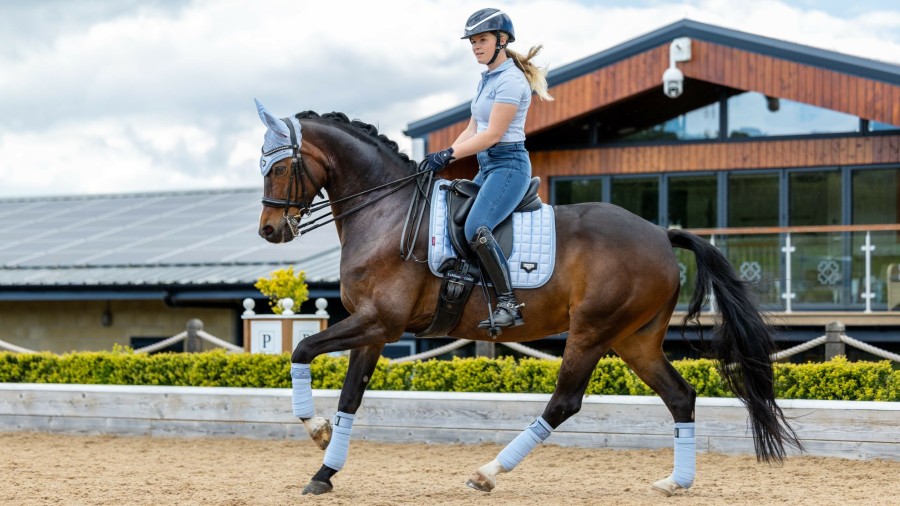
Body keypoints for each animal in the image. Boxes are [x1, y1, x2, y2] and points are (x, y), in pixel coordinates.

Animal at [253, 101, 800, 496]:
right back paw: (676, 482)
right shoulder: (373, 329)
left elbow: (301, 350)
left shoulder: (379, 323)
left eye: (279, 168)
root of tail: (661, 235)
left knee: (564, 402)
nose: (269, 231)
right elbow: (350, 397)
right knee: (681, 396)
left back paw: (487, 473)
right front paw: (324, 471)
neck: (384, 212)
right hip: (635, 340)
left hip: (591, 331)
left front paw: (315, 429)